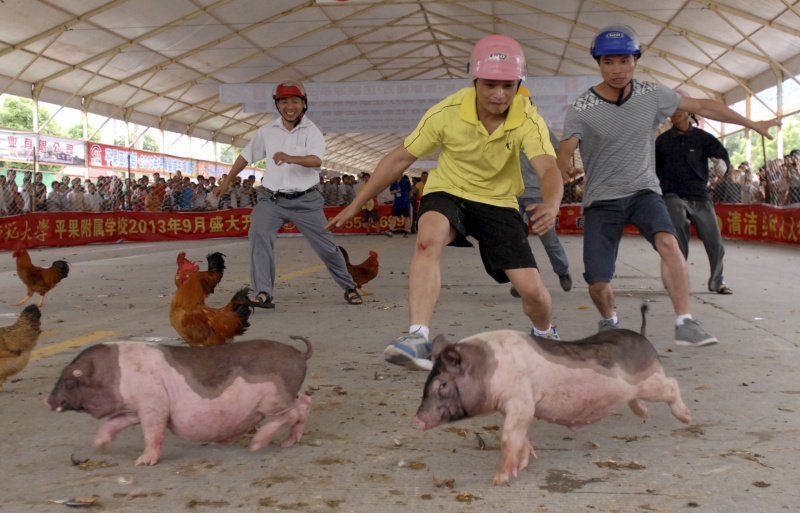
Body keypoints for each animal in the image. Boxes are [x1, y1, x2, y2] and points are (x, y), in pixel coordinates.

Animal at [47, 336, 313, 466]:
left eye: (68, 382)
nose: (46, 401)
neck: (115, 372)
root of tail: (300, 354)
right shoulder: (133, 409)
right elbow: (115, 423)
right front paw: (99, 446)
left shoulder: (153, 402)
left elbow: (152, 431)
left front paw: (141, 463)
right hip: (288, 396)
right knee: (305, 402)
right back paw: (289, 442)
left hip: (274, 400)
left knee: (292, 412)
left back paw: (257, 444)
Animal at [414, 306, 691, 485]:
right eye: (427, 382)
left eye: (442, 385)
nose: (416, 419)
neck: (488, 366)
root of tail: (643, 338)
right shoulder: (518, 407)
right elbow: (520, 435)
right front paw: (524, 463)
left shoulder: (522, 401)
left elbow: (508, 436)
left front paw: (499, 479)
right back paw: (646, 414)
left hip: (650, 381)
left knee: (673, 384)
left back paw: (686, 418)